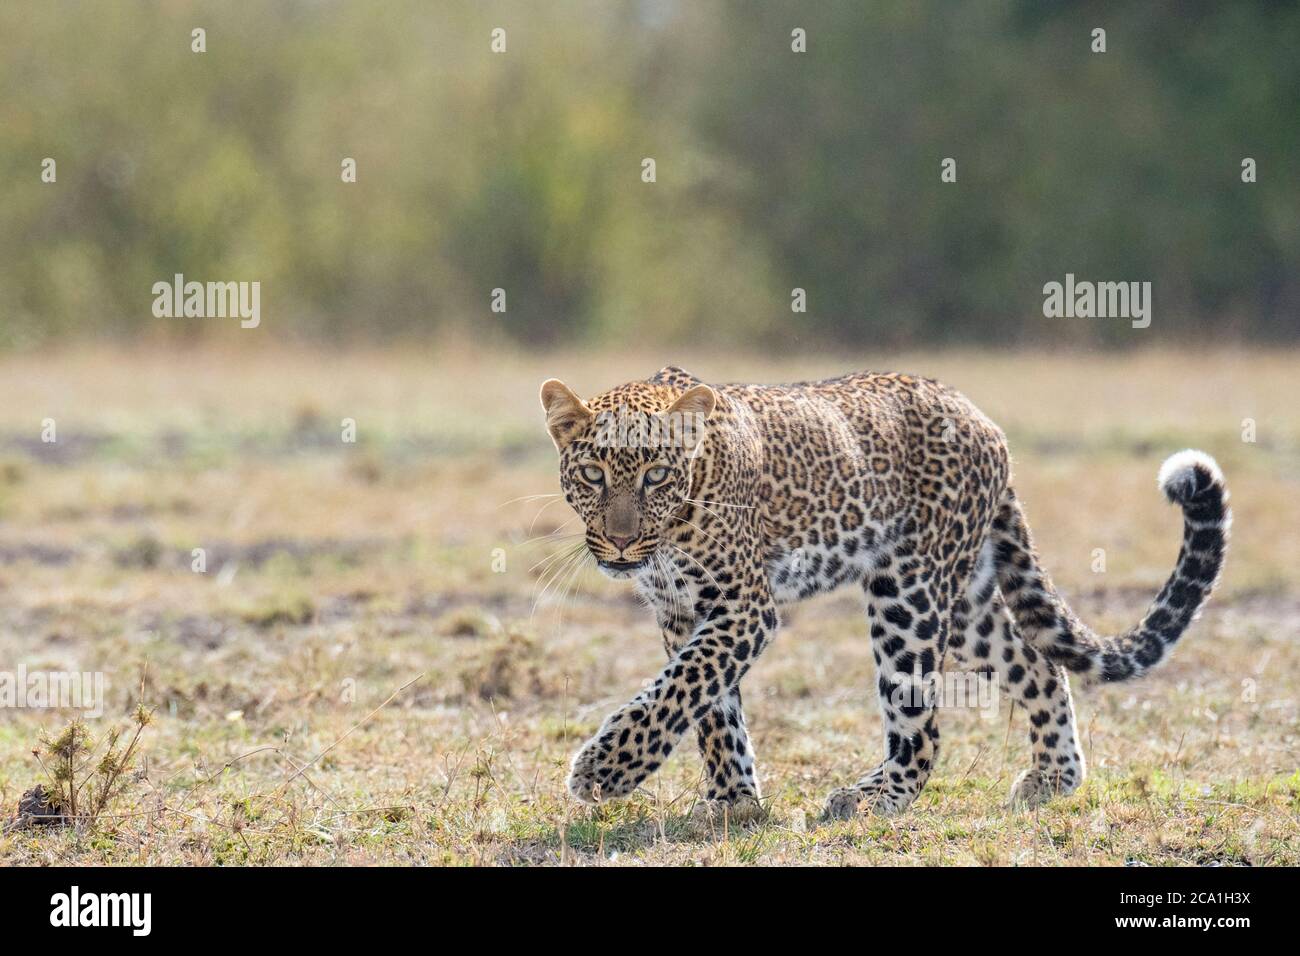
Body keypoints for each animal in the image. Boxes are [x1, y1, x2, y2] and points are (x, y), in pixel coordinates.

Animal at [538, 369, 1227, 822]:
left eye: (657, 475)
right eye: (592, 474)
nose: (622, 542)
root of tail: (982, 418)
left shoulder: (743, 609)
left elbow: (679, 691)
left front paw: (602, 772)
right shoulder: (683, 613)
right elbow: (708, 707)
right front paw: (733, 802)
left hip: (909, 593)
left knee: (922, 729)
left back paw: (873, 797)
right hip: (967, 602)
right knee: (1037, 665)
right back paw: (1052, 778)